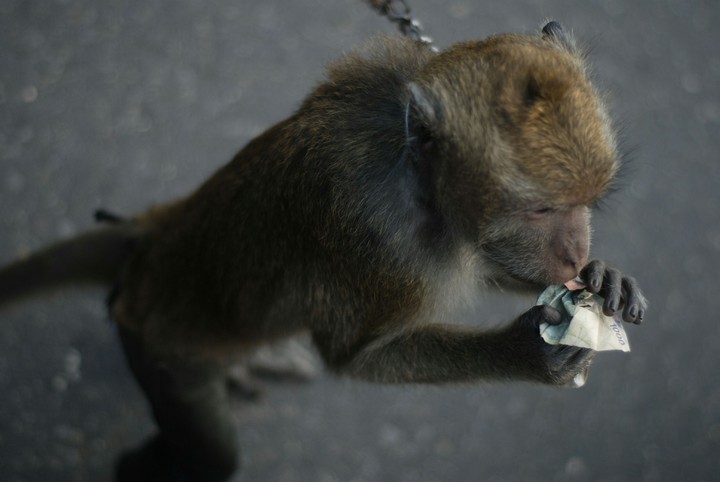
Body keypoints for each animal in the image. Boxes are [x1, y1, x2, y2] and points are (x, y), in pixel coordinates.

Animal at [0, 21, 647, 482]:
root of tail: (150, 239)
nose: (575, 249)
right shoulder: (378, 245)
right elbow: (354, 357)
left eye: (586, 201)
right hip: (160, 356)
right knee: (210, 456)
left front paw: (602, 278)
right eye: (541, 209)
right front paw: (529, 353)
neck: (418, 184)